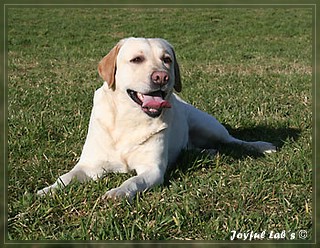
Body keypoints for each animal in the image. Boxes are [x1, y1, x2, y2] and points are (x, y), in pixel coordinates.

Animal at [37, 37, 276, 200]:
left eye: (167, 59)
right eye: (136, 59)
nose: (162, 77)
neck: (128, 120)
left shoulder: (152, 169)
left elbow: (132, 181)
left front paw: (117, 193)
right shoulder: (89, 165)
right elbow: (66, 177)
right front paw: (46, 191)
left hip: (207, 125)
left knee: (232, 140)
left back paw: (262, 146)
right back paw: (206, 152)